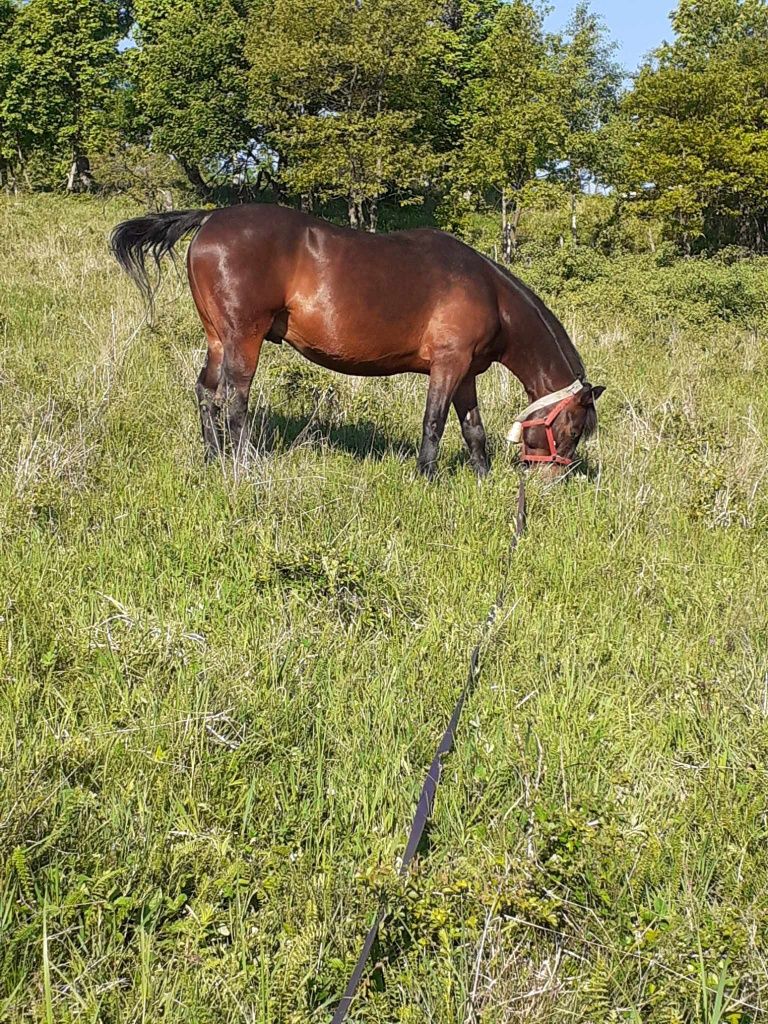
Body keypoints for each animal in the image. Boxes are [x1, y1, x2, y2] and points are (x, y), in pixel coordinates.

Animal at [109, 205, 602, 481]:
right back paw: (244, 464)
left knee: (205, 392)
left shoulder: (465, 374)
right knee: (233, 399)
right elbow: (434, 423)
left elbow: (473, 430)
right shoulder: (447, 366)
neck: (489, 292)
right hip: (242, 338)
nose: (550, 483)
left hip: (217, 339)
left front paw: (482, 478)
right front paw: (425, 479)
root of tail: (211, 217)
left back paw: (214, 457)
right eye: (574, 429)